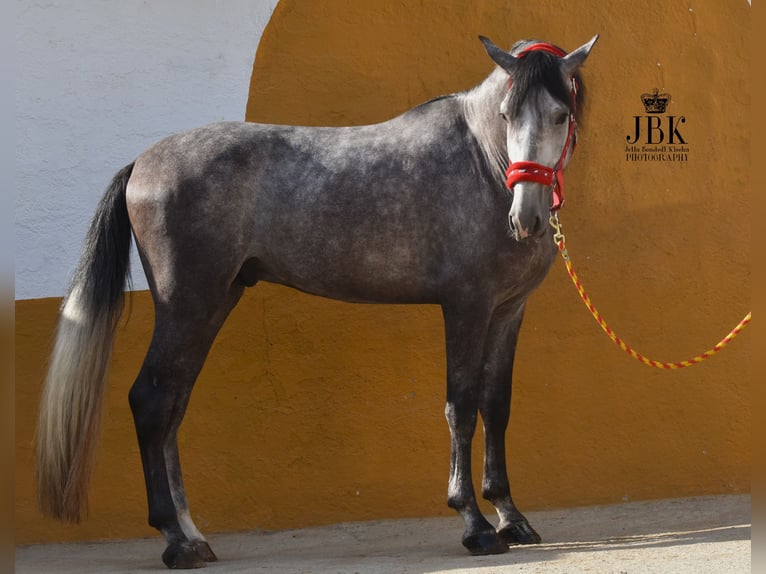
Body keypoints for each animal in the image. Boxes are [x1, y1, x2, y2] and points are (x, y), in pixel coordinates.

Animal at [36, 36, 600, 572]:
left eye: (560, 114)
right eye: (506, 115)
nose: (525, 217)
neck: (482, 161)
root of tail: (141, 164)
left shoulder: (507, 312)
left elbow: (496, 406)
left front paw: (511, 518)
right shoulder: (466, 307)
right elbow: (460, 407)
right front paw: (476, 525)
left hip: (212, 305)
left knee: (173, 407)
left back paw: (193, 535)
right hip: (186, 308)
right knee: (152, 402)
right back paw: (175, 540)